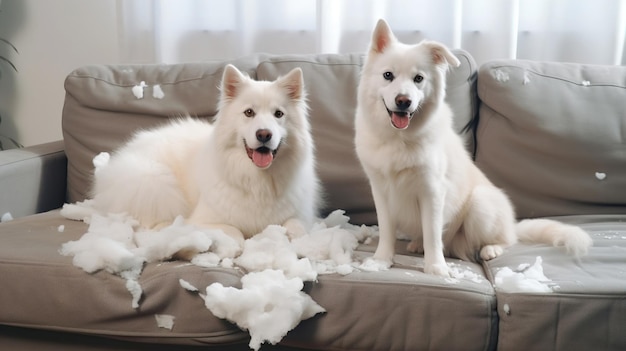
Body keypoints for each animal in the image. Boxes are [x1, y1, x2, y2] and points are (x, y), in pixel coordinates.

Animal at [354, 19, 588, 278]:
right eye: (388, 75)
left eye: (418, 78)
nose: (403, 102)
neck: (398, 138)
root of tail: (512, 225)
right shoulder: (381, 191)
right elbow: (387, 230)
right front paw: (381, 260)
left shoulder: (432, 191)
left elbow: (433, 234)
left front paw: (436, 268)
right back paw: (417, 244)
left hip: (480, 204)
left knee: (506, 240)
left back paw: (491, 249)